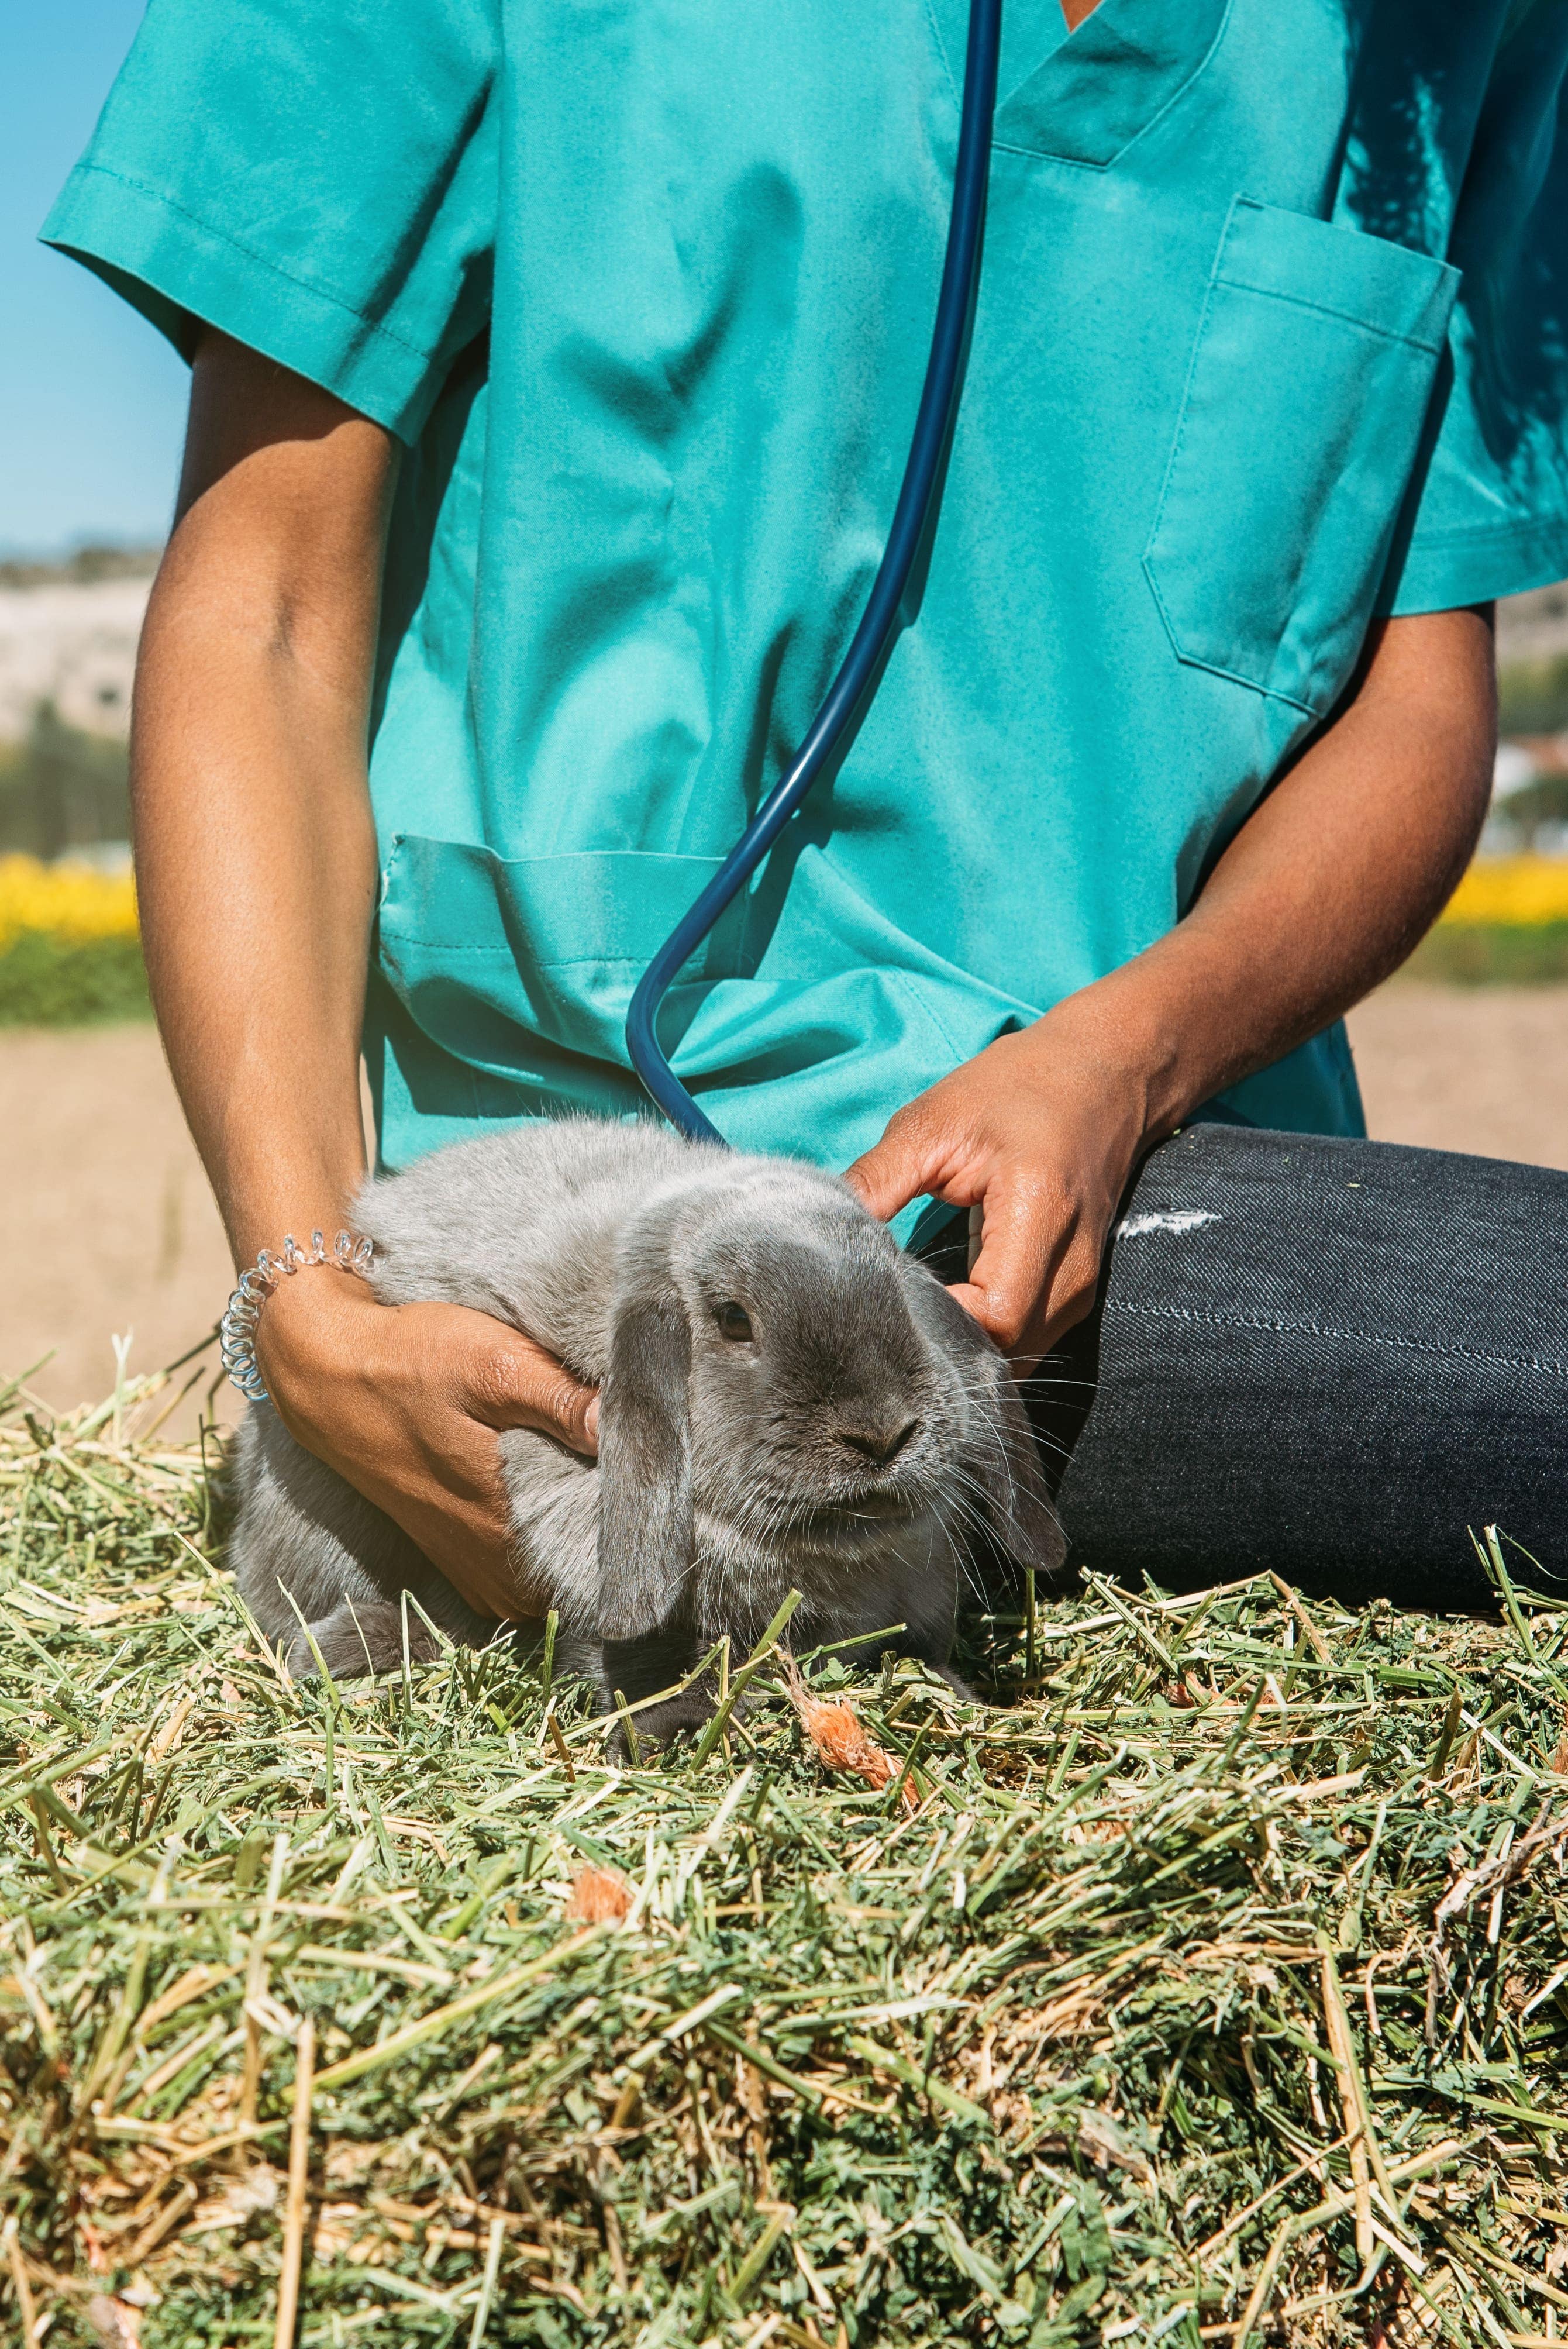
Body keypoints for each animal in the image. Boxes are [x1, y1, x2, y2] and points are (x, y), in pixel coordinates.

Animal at [230, 1118, 1066, 1747]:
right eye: (733, 1320)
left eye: (895, 1287)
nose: (882, 1433)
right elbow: (644, 1648)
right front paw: (678, 1727)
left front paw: (954, 1693)